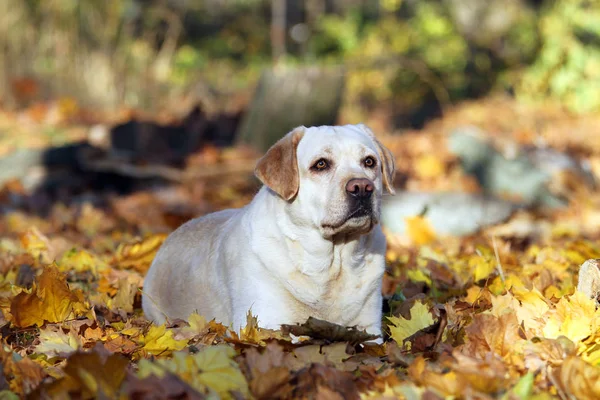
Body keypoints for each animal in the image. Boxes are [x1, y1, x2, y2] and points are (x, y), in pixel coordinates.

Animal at [140, 123, 394, 336]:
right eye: (321, 164)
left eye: (369, 162)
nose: (362, 187)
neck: (331, 267)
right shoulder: (265, 322)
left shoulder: (370, 328)